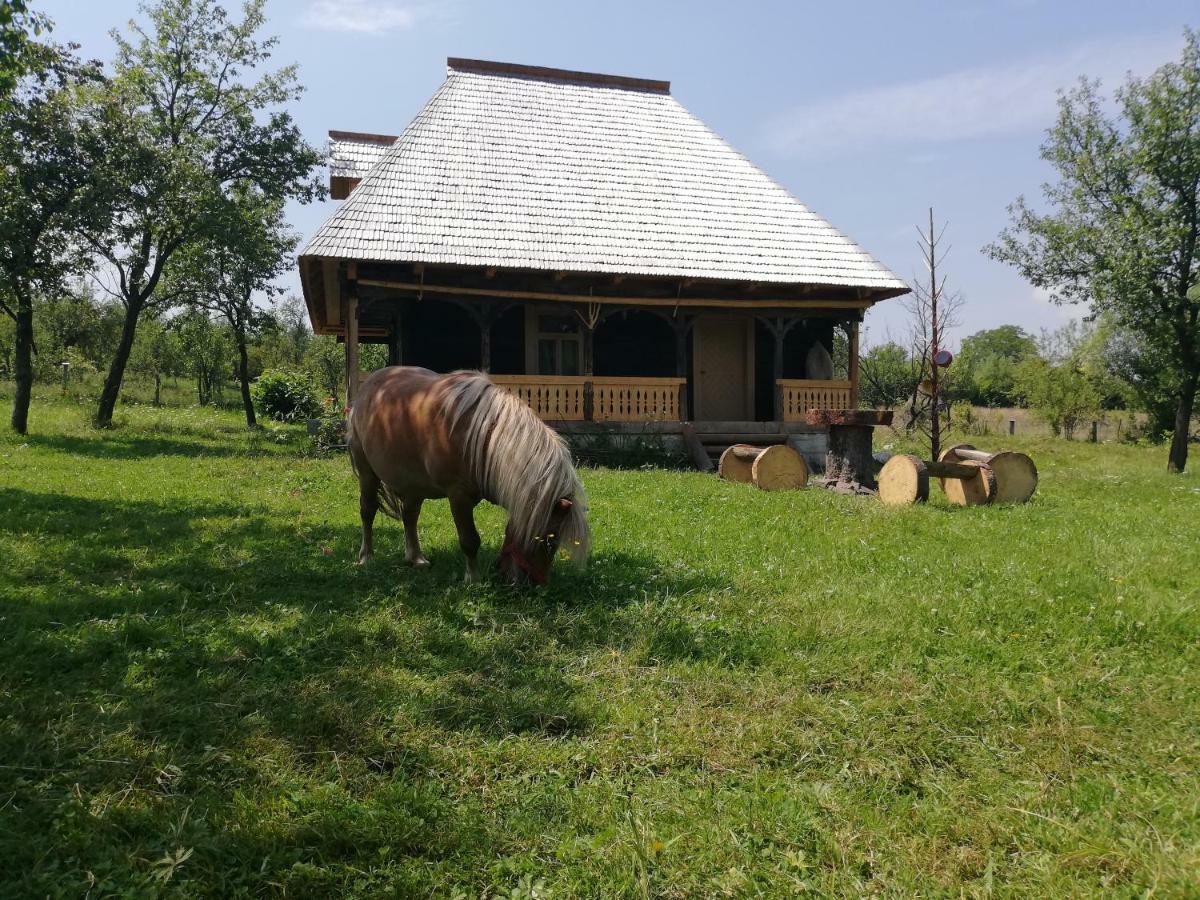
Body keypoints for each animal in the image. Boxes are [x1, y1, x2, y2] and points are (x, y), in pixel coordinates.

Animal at [348, 367, 590, 585]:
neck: (482, 437)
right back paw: (366, 557)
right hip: (367, 473)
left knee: (410, 516)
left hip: (414, 485)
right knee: (367, 510)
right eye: (548, 540)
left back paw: (416, 558)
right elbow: (470, 540)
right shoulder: (459, 496)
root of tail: (367, 386)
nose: (530, 584)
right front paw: (473, 579)